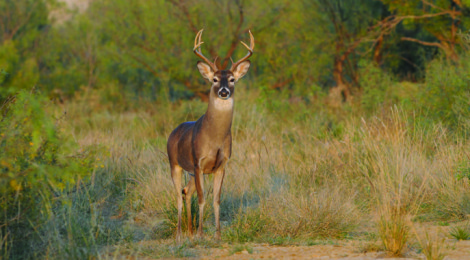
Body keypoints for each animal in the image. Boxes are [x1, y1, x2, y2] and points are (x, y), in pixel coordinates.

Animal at [167, 29, 255, 242]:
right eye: (214, 79)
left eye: (232, 79)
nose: (223, 92)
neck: (214, 139)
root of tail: (173, 132)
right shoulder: (198, 162)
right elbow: (202, 198)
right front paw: (201, 233)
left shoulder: (222, 165)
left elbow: (216, 199)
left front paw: (217, 234)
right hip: (175, 164)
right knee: (178, 196)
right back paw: (180, 233)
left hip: (190, 171)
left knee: (186, 191)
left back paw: (189, 231)